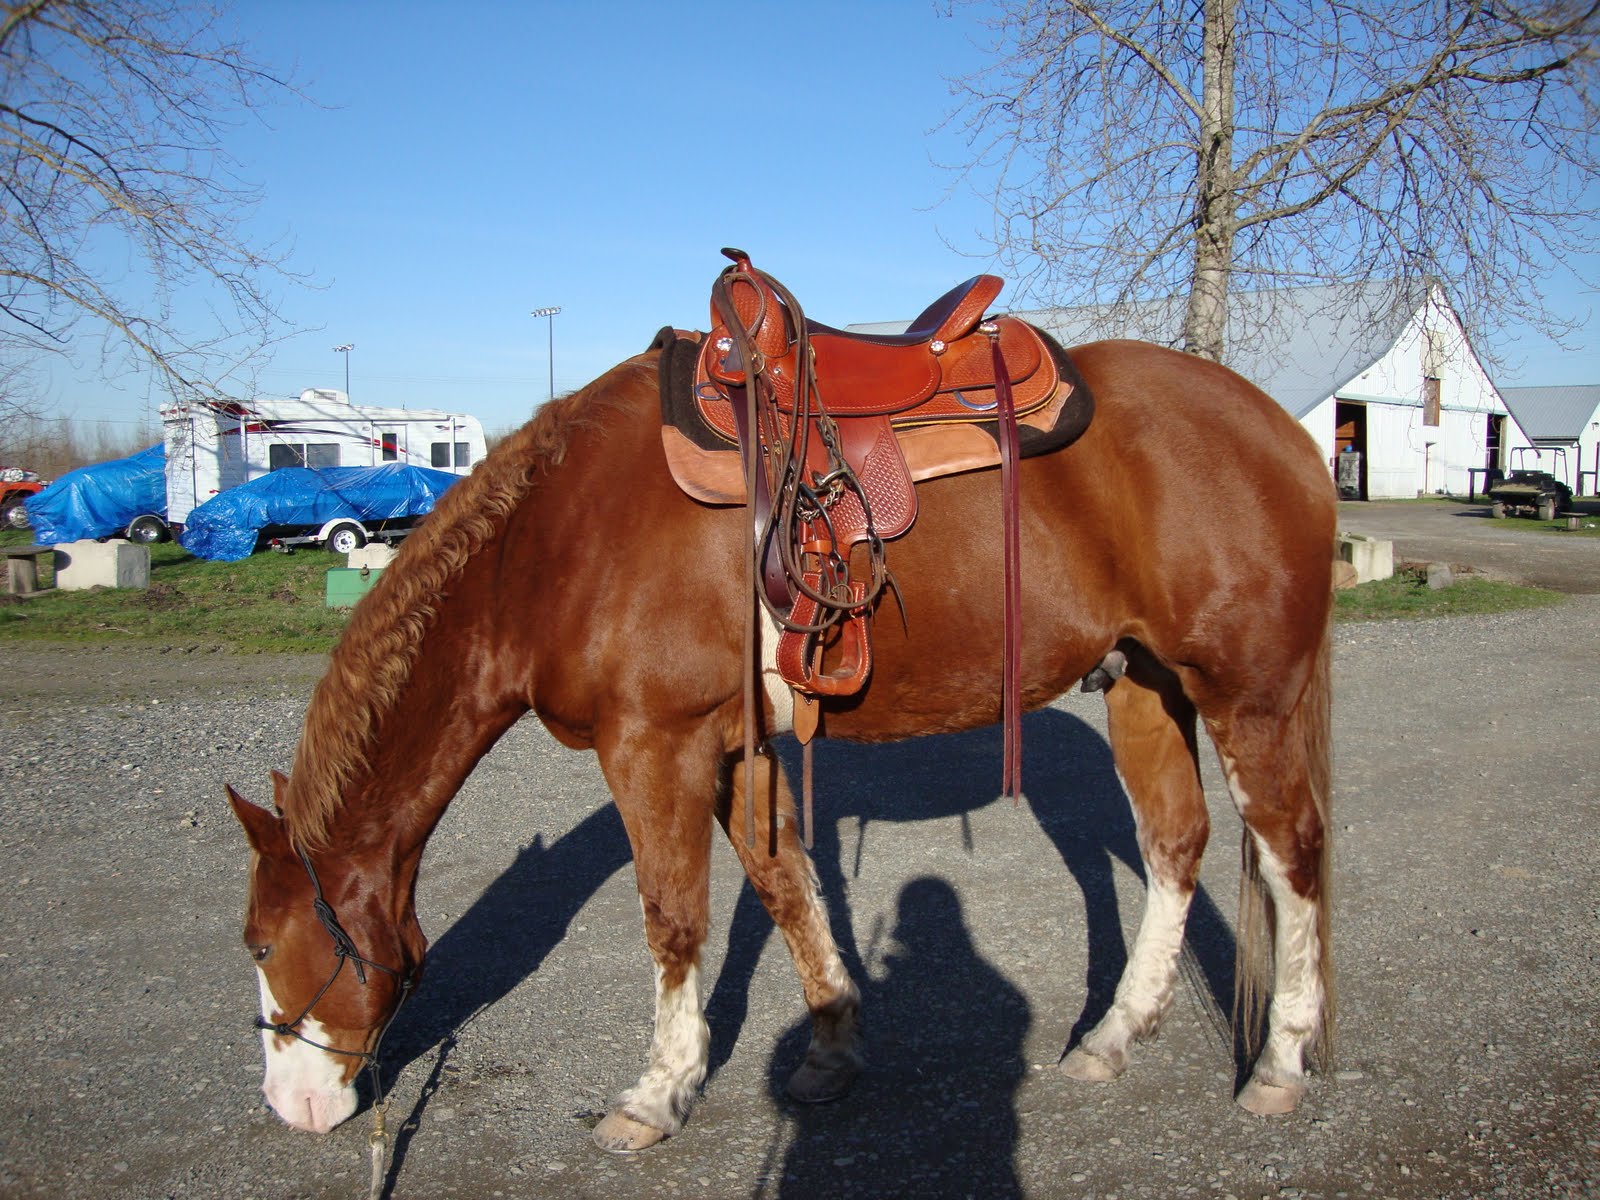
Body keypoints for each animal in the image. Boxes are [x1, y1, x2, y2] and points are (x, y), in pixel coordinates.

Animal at [227, 331, 1336, 1155]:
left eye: (260, 943)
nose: (288, 1107)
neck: (556, 546)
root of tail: (1282, 431)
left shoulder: (654, 748)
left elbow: (674, 920)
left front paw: (658, 1093)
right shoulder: (735, 751)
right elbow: (785, 885)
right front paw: (831, 1044)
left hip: (1249, 698)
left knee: (1293, 854)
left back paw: (1281, 1065)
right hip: (1146, 686)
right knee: (1175, 846)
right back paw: (1113, 1037)